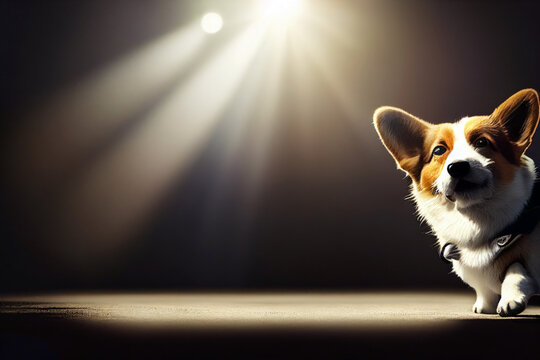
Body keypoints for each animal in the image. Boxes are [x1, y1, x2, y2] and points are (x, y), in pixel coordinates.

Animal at [374, 89, 536, 316]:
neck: (474, 219)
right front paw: (484, 306)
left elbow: (514, 271)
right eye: (439, 150)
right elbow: (485, 288)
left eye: (482, 142)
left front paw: (510, 300)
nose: (458, 167)